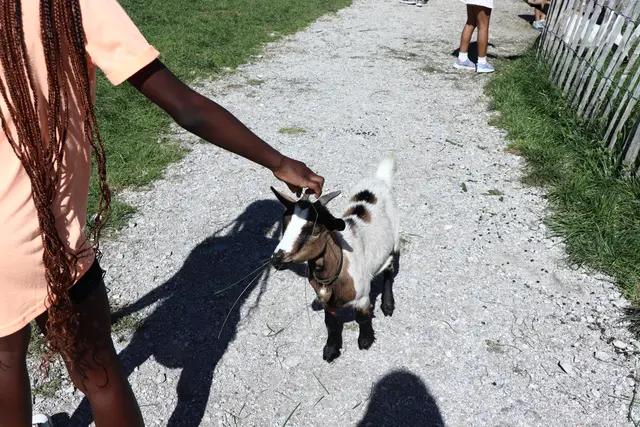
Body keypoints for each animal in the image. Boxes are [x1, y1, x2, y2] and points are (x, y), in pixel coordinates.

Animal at [270, 157, 400, 362]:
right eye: (285, 224)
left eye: (315, 229)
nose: (277, 258)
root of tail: (379, 179)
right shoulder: (327, 302)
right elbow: (330, 323)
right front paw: (331, 349)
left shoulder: (362, 297)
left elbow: (362, 318)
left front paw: (365, 340)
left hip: (395, 237)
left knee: (389, 268)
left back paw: (387, 305)